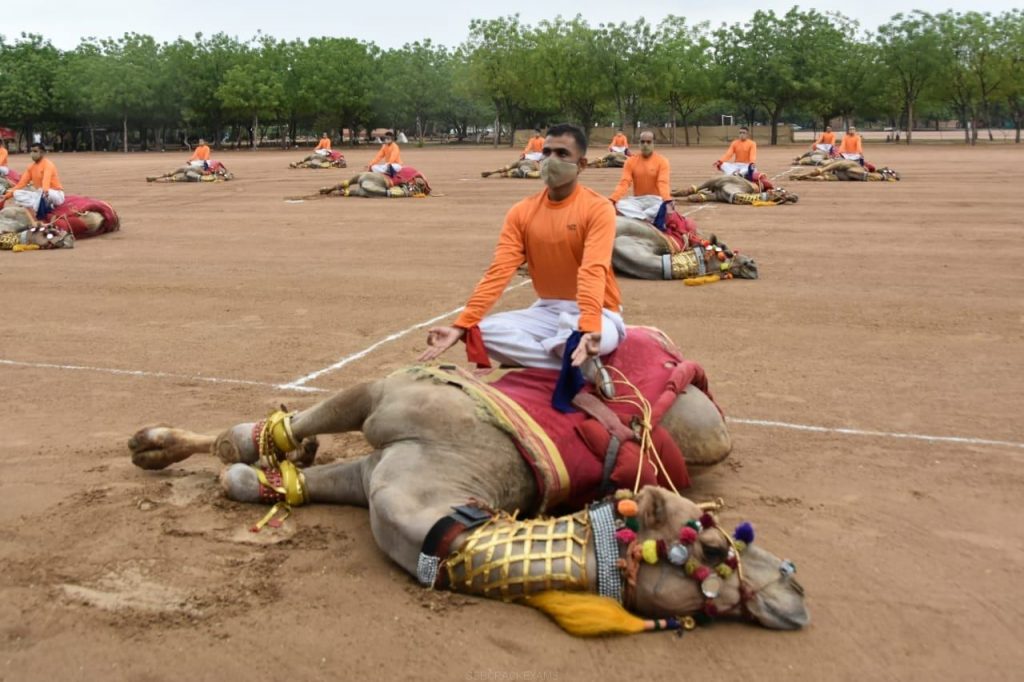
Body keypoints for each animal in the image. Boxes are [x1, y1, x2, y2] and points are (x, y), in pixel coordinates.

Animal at [130, 339, 806, 630]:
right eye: (714, 544)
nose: (795, 592)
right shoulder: (386, 398)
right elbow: (244, 449)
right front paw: (153, 445)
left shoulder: (375, 477)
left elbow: (248, 477)